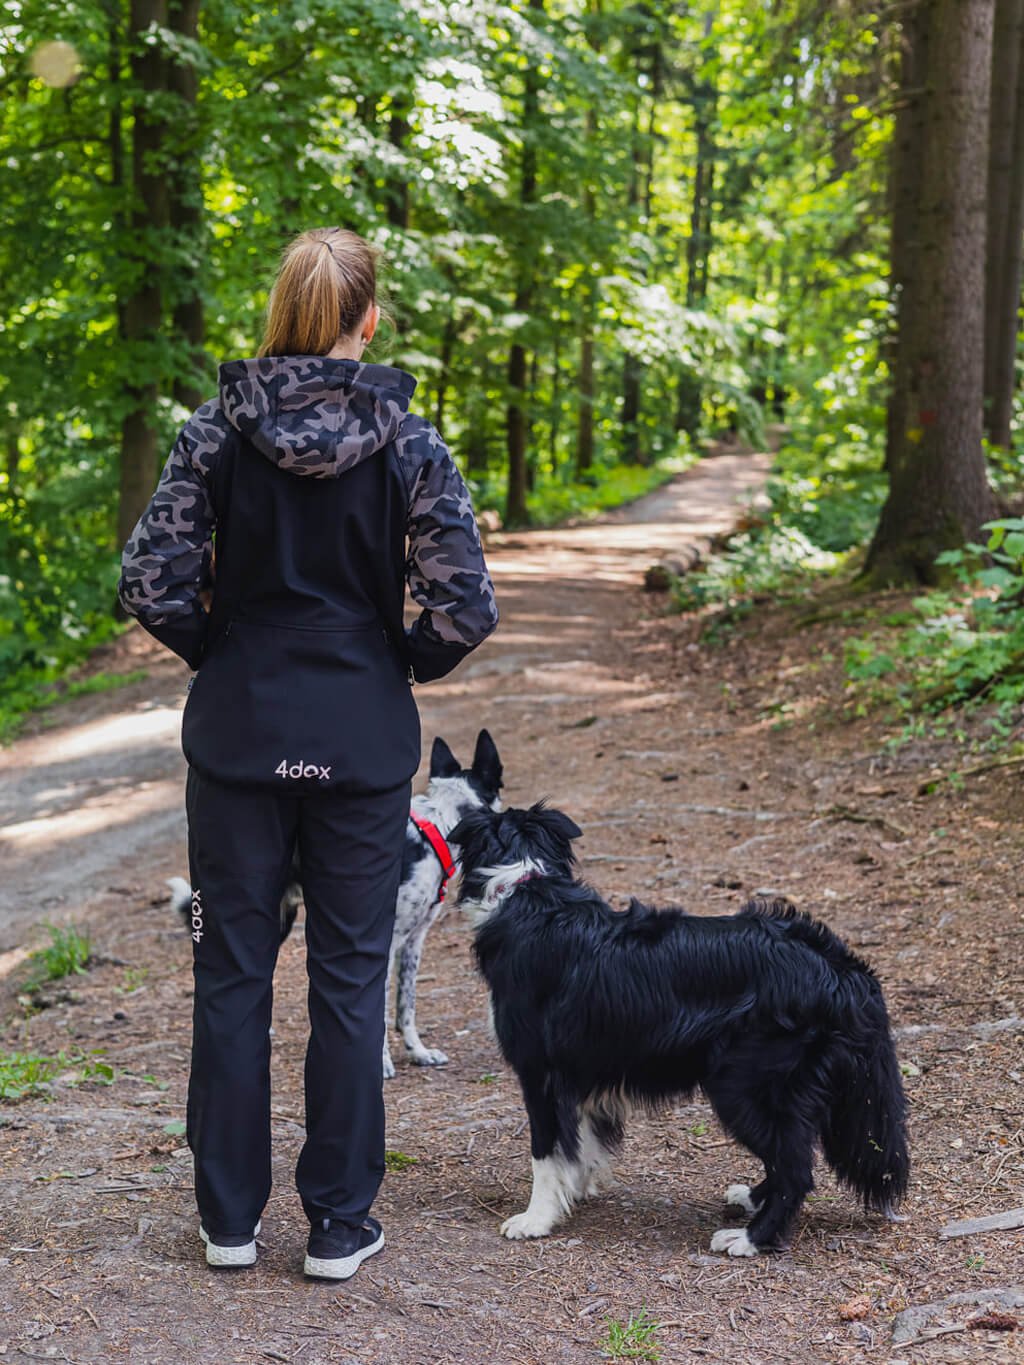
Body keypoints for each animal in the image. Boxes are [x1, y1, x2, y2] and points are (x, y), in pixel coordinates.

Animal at [172, 726, 505, 1075]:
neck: (438, 826)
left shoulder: (414, 941)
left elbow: (406, 1005)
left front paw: (418, 1051)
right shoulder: (386, 945)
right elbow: (379, 1012)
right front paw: (381, 1063)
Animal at [453, 797, 912, 1255]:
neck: (524, 885)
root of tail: (843, 968)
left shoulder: (539, 1072)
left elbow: (545, 1152)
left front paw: (536, 1218)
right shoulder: (582, 1071)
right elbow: (581, 1144)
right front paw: (575, 1192)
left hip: (743, 1084)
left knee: (795, 1168)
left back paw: (750, 1239)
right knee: (787, 1157)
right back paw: (750, 1199)